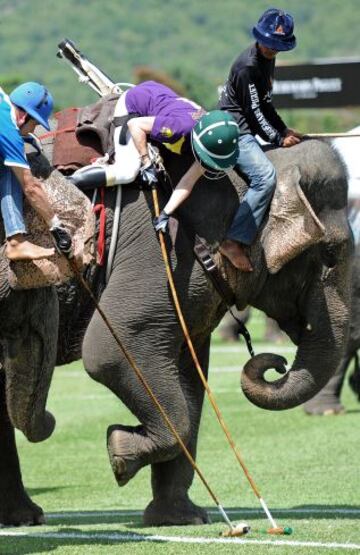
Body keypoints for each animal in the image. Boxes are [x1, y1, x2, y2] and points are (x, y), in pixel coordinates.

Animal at [0, 132, 354, 528]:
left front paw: (181, 518)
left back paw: (23, 518)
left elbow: (189, 377)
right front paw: (119, 450)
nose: (276, 363)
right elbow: (112, 350)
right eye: (329, 254)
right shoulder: (166, 253)